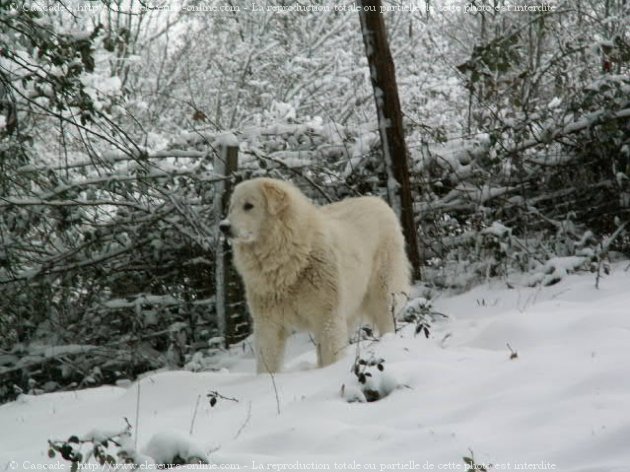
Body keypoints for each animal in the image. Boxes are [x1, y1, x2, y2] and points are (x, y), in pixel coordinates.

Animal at [220, 179, 412, 374]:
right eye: (231, 207)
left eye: (248, 206)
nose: (223, 226)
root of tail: (378, 201)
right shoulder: (268, 323)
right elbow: (267, 361)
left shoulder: (327, 316)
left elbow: (330, 354)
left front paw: (328, 372)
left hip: (383, 292)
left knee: (387, 319)